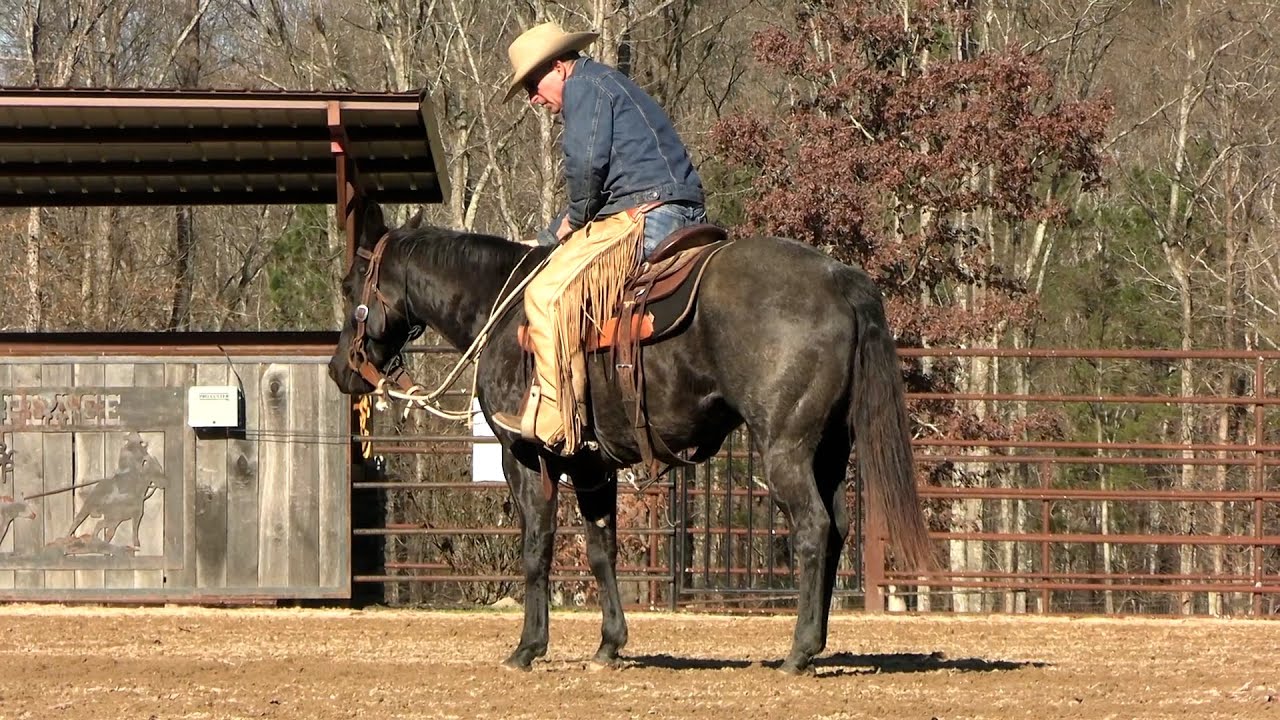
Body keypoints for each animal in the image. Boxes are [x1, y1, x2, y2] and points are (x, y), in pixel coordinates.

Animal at [327, 202, 933, 674]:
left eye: (351, 286)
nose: (340, 371)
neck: (502, 312)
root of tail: (838, 277)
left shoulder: (524, 457)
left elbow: (536, 548)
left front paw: (528, 648)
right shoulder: (592, 466)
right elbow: (601, 551)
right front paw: (609, 645)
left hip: (784, 447)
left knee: (812, 528)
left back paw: (797, 651)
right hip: (829, 449)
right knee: (837, 531)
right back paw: (817, 645)